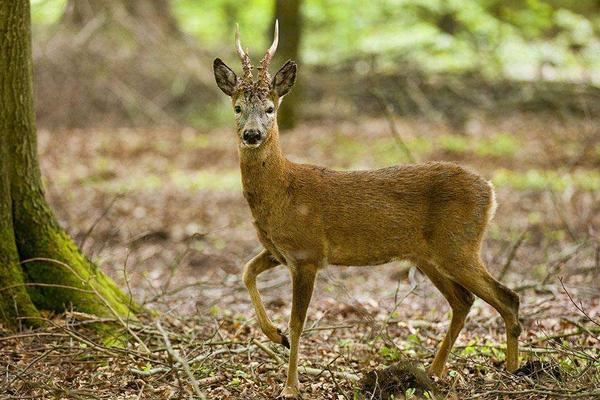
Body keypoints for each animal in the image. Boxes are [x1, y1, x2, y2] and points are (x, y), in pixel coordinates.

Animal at [214, 22, 520, 400]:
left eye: (270, 108)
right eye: (237, 107)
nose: (252, 134)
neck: (282, 191)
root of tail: (490, 191)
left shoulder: (307, 254)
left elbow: (297, 322)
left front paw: (290, 386)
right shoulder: (278, 251)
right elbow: (246, 272)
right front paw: (275, 336)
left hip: (458, 244)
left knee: (507, 296)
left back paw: (511, 370)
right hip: (427, 255)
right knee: (463, 301)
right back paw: (434, 372)